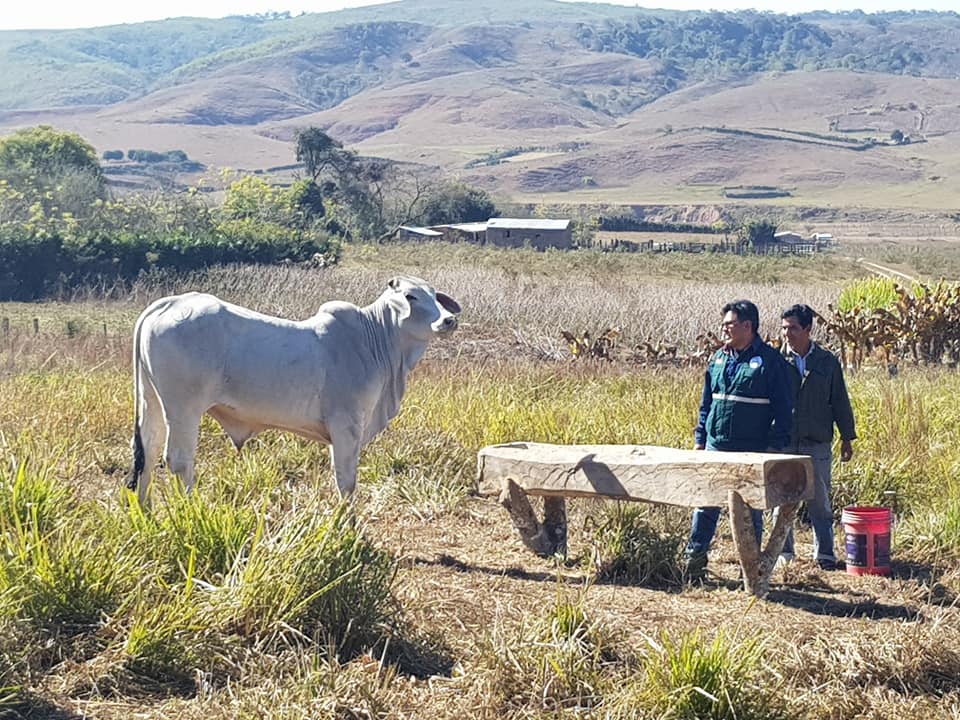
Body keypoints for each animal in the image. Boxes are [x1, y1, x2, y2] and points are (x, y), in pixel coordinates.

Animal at [127, 278, 462, 506]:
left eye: (435, 296)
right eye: (410, 295)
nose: (449, 320)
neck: (374, 338)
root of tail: (167, 304)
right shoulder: (346, 427)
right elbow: (346, 481)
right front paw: (348, 529)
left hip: (152, 400)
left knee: (148, 451)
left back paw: (145, 512)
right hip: (183, 408)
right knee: (178, 459)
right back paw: (189, 510)